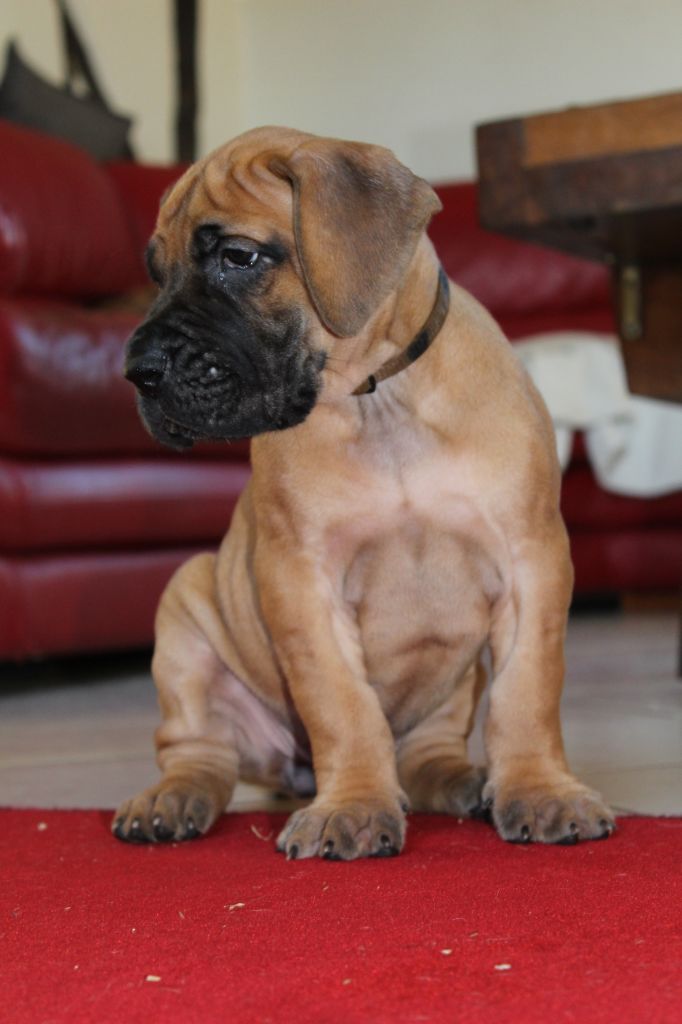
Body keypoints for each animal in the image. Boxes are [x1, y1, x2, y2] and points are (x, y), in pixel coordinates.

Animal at [113, 127, 614, 859]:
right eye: (156, 274)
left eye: (238, 257)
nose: (138, 372)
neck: (379, 397)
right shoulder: (301, 582)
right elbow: (341, 704)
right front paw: (351, 805)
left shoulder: (532, 560)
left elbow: (528, 689)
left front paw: (541, 789)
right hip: (187, 608)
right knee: (197, 752)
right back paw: (169, 800)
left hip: (450, 692)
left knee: (429, 753)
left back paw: (466, 782)